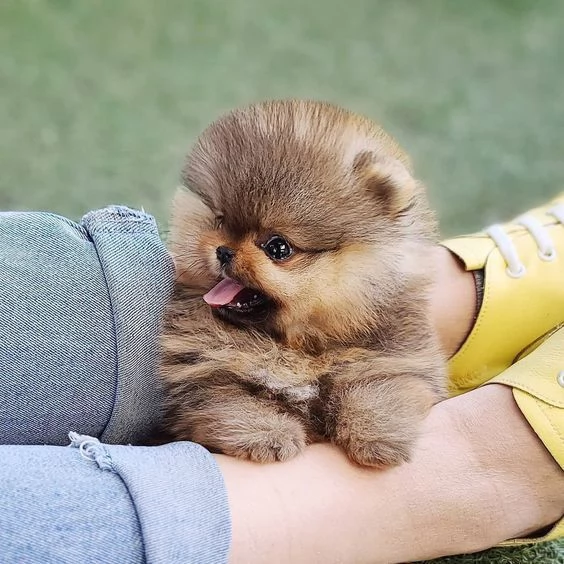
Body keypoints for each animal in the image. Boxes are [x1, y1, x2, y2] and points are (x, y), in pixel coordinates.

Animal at [160, 100, 446, 468]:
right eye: (220, 221)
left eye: (278, 247)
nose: (223, 250)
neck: (296, 344)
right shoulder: (205, 372)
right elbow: (232, 402)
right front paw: (268, 434)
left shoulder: (393, 360)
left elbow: (383, 390)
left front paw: (379, 436)